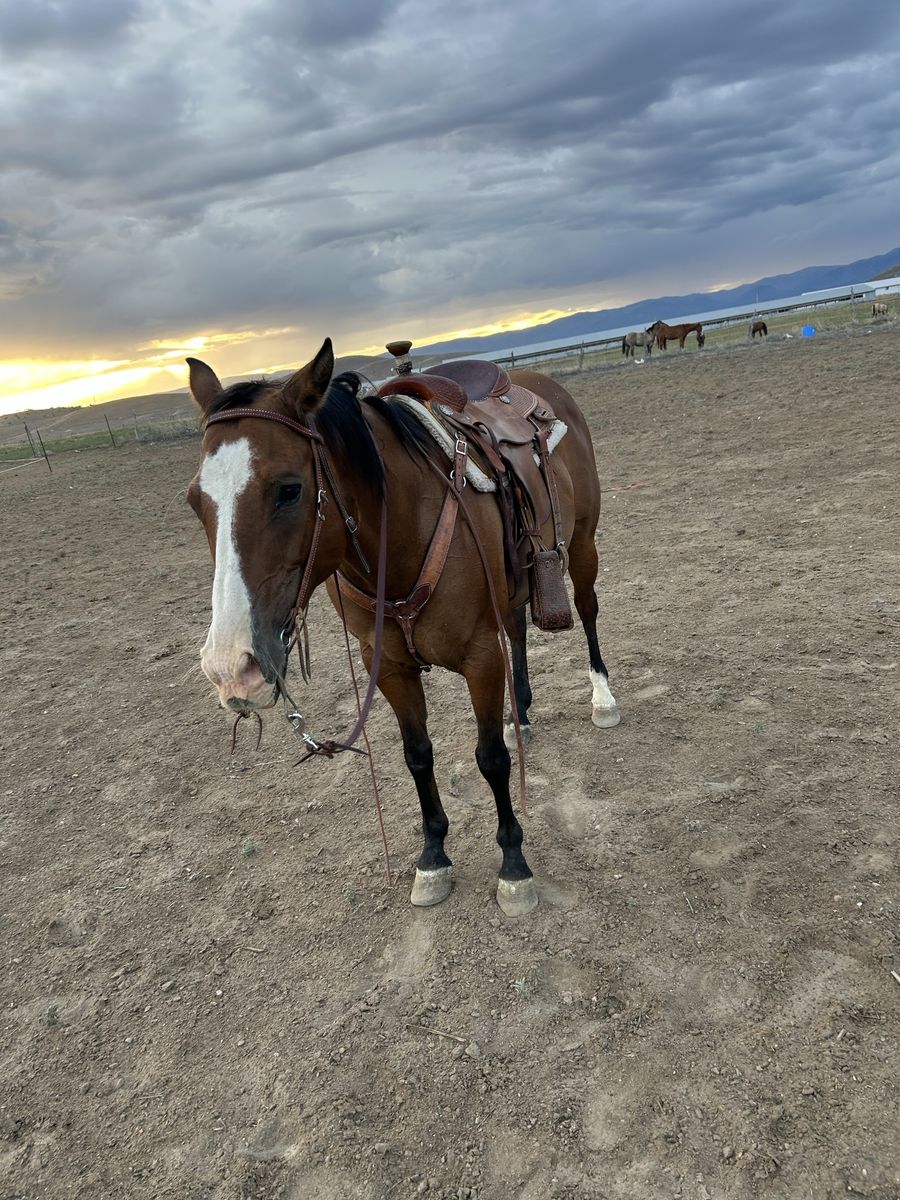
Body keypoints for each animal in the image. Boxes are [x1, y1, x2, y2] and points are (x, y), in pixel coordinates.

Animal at [185, 340, 619, 918]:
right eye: (195, 500)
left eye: (289, 490)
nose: (231, 668)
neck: (402, 533)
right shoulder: (387, 664)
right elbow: (417, 756)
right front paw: (432, 857)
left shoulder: (480, 657)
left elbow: (491, 760)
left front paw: (514, 865)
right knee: (519, 631)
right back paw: (521, 715)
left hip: (584, 544)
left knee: (588, 611)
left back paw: (602, 698)